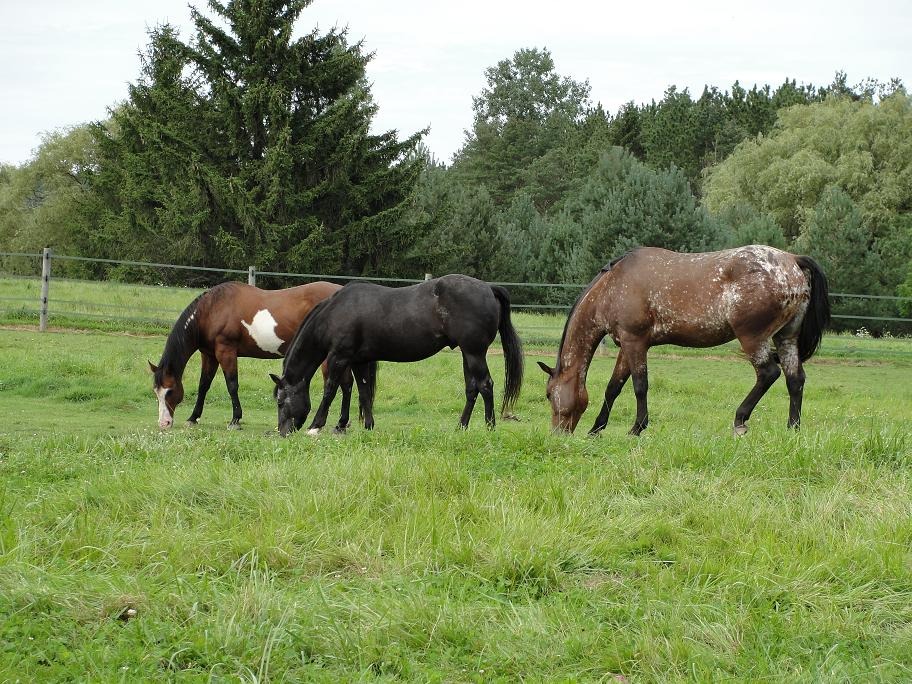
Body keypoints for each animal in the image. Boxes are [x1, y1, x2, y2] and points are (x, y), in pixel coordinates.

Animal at [150, 280, 370, 430]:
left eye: (170, 391)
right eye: (156, 392)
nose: (163, 423)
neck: (212, 310)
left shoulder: (226, 351)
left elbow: (232, 385)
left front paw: (235, 419)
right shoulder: (209, 355)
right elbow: (204, 385)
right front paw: (193, 417)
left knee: (341, 384)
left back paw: (337, 423)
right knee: (347, 384)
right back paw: (341, 424)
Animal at [270, 276, 524, 436]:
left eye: (281, 402)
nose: (283, 432)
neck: (337, 311)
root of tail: (488, 288)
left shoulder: (339, 358)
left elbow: (330, 390)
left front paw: (316, 426)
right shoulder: (359, 361)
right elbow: (364, 392)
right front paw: (368, 426)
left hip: (474, 352)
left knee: (486, 385)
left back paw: (489, 427)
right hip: (466, 354)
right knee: (472, 389)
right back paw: (461, 427)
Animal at [536, 246, 832, 436]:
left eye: (549, 394)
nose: (557, 435)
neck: (612, 286)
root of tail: (792, 260)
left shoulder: (635, 343)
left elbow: (639, 386)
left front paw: (637, 428)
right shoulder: (627, 345)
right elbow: (613, 388)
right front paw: (596, 429)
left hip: (752, 338)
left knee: (768, 373)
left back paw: (740, 420)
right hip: (786, 337)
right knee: (795, 379)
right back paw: (792, 429)